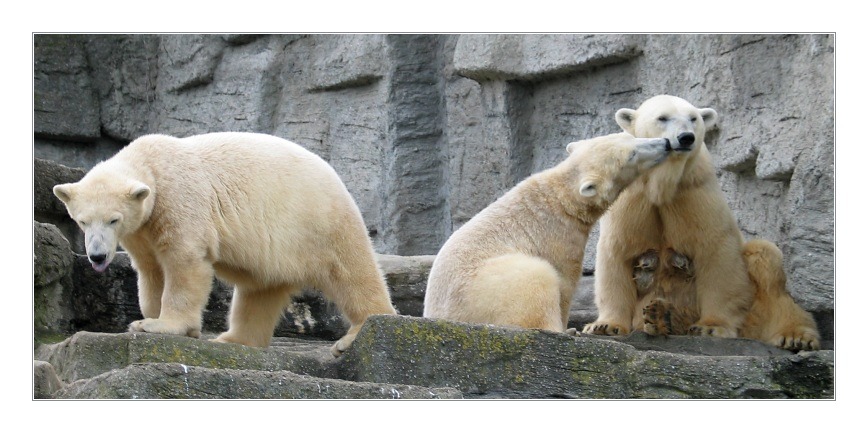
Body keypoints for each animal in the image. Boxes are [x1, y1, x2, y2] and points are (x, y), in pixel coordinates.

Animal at [56, 131, 402, 354]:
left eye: (112, 219)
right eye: (83, 221)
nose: (97, 256)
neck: (152, 164)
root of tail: (336, 177)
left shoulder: (180, 201)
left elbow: (185, 263)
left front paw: (161, 326)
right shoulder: (141, 230)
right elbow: (151, 271)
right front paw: (151, 318)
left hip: (320, 221)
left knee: (351, 272)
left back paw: (358, 333)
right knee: (259, 292)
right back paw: (233, 339)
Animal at [424, 132, 676, 330]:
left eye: (631, 136)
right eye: (631, 155)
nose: (665, 142)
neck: (561, 198)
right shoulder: (561, 237)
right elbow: (565, 283)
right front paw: (568, 327)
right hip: (488, 289)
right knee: (537, 278)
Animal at [584, 94, 820, 352]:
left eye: (693, 118)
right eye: (662, 117)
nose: (686, 137)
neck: (663, 185)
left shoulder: (694, 192)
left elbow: (716, 252)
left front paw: (710, 327)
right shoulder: (633, 198)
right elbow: (617, 253)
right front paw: (605, 325)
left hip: (753, 307)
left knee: (766, 262)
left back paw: (795, 336)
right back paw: (660, 317)